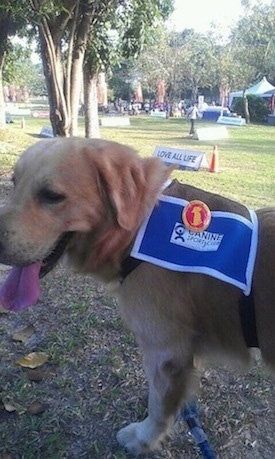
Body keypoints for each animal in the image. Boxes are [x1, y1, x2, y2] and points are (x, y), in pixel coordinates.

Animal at [0, 137, 274, 456]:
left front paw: (144, 439)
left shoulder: (165, 353)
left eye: (52, 196)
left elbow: (159, 407)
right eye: (14, 182)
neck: (141, 225)